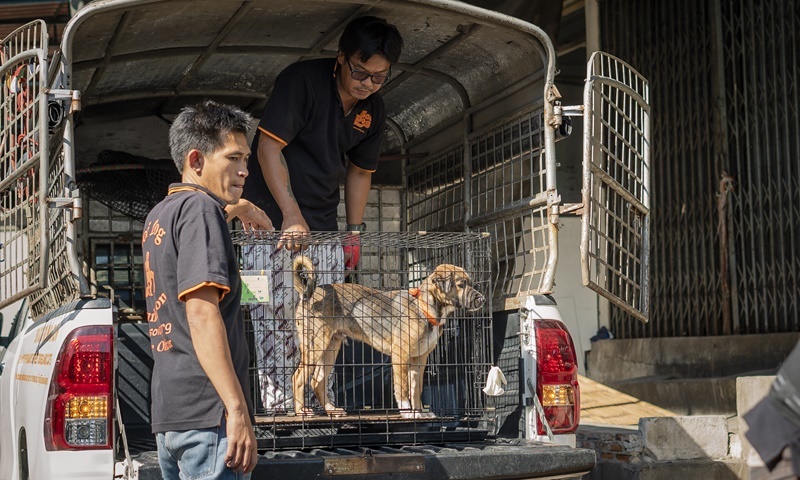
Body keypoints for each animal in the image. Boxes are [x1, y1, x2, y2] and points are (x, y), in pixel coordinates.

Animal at [290, 256, 484, 418]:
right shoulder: (401, 356)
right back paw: (301, 411)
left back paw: (331, 410)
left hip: (330, 347)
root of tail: (307, 295)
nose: (482, 300)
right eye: (461, 284)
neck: (424, 307)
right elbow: (403, 389)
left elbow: (416, 389)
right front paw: (408, 413)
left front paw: (420, 412)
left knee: (316, 381)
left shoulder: (419, 360)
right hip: (315, 345)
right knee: (297, 377)